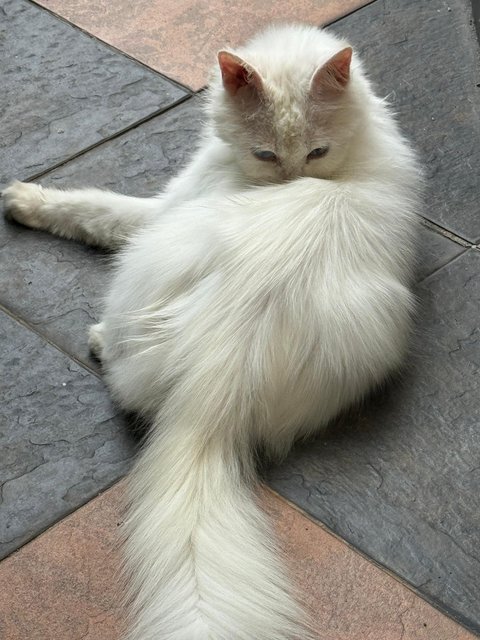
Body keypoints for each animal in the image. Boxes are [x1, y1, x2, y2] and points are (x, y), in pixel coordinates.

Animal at [2, 23, 420, 640]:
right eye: (266, 154)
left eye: (316, 152)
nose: (291, 180)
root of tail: (211, 390)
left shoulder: (162, 208)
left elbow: (94, 209)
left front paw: (24, 199)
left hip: (153, 255)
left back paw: (98, 339)